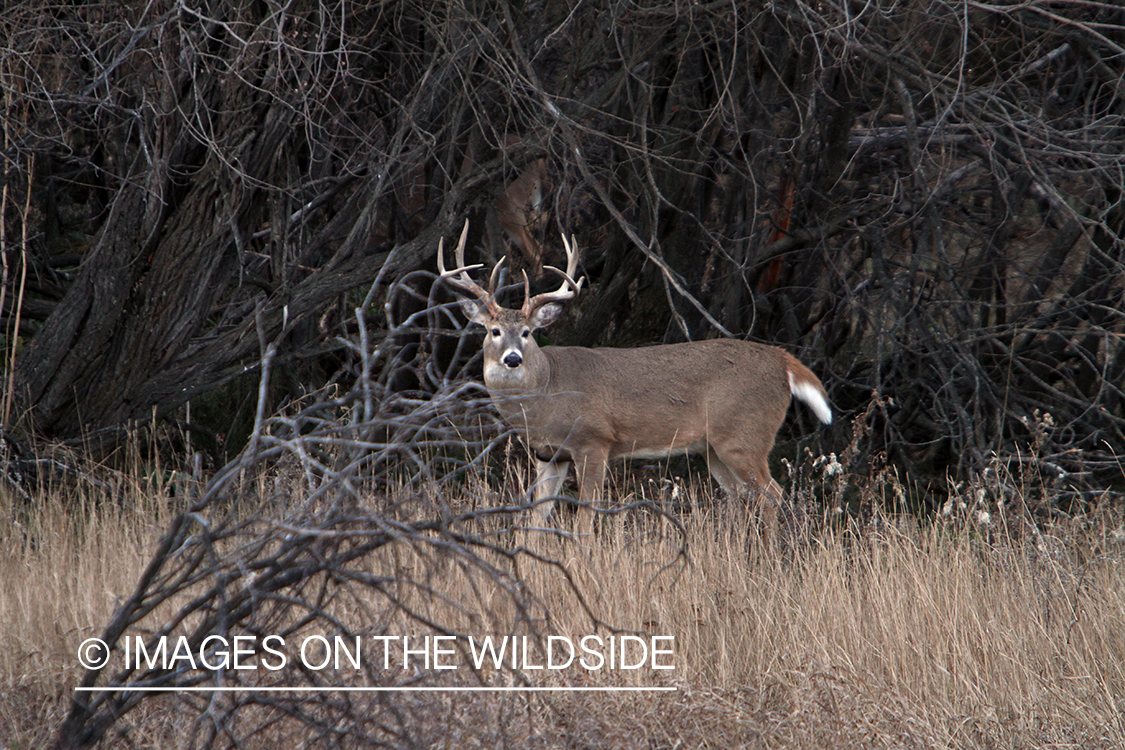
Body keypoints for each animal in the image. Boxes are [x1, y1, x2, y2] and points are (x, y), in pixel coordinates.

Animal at [434, 220, 832, 530]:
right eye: (494, 331)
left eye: (528, 333)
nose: (513, 359)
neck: (546, 396)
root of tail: (783, 361)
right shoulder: (548, 455)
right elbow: (536, 516)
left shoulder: (594, 440)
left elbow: (585, 516)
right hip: (715, 447)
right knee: (739, 496)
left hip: (745, 435)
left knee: (772, 495)